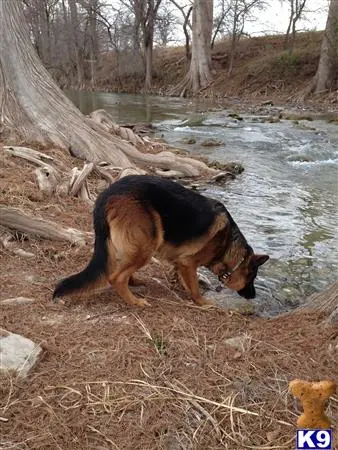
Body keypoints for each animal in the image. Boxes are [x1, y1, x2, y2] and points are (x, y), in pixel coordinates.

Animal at [53, 174, 270, 308]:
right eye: (252, 278)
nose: (254, 296)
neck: (227, 245)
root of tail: (106, 195)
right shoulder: (188, 262)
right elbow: (195, 288)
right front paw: (203, 302)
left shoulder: (180, 262)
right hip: (148, 243)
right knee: (116, 277)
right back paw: (134, 301)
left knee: (124, 269)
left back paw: (135, 281)